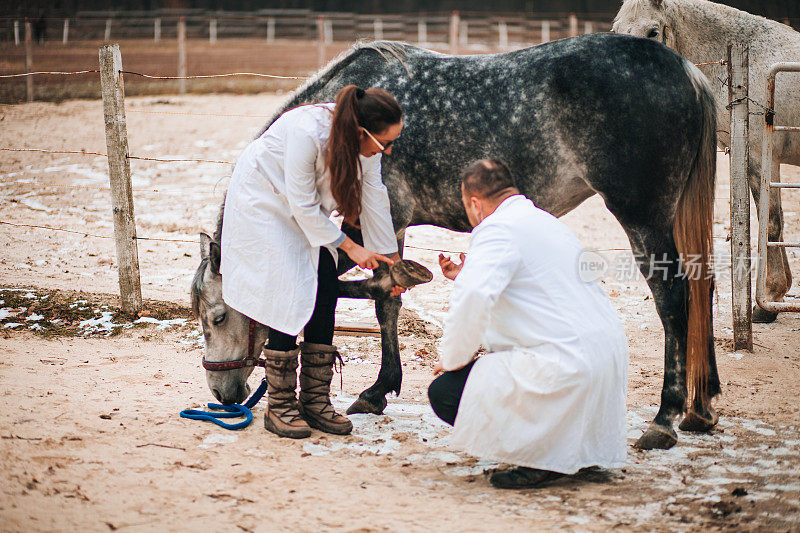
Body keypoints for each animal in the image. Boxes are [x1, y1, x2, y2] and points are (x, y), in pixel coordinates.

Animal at [194, 32, 720, 448]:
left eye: (215, 316)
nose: (223, 394)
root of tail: (685, 69)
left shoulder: (371, 222)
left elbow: (374, 292)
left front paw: (376, 388)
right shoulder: (390, 227)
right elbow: (389, 299)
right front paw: (380, 389)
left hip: (643, 218)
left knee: (673, 300)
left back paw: (665, 418)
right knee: (703, 287)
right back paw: (701, 407)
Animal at [612, 0, 800, 322]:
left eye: (652, 32)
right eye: (616, 30)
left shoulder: (760, 156)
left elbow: (771, 223)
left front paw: (769, 299)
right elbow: (773, 223)